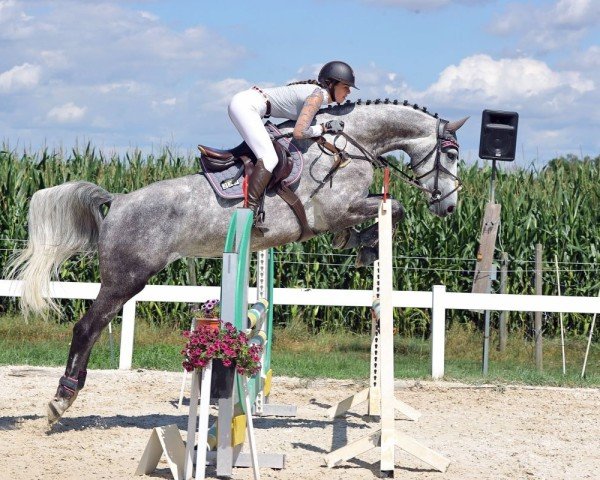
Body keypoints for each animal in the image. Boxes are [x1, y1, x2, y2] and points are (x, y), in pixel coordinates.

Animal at [10, 99, 468, 422]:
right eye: (451, 155)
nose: (448, 207)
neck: (348, 144)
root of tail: (118, 200)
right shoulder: (337, 208)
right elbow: (393, 208)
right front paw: (368, 242)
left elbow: (384, 212)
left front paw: (363, 243)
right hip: (126, 278)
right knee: (87, 327)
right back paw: (61, 400)